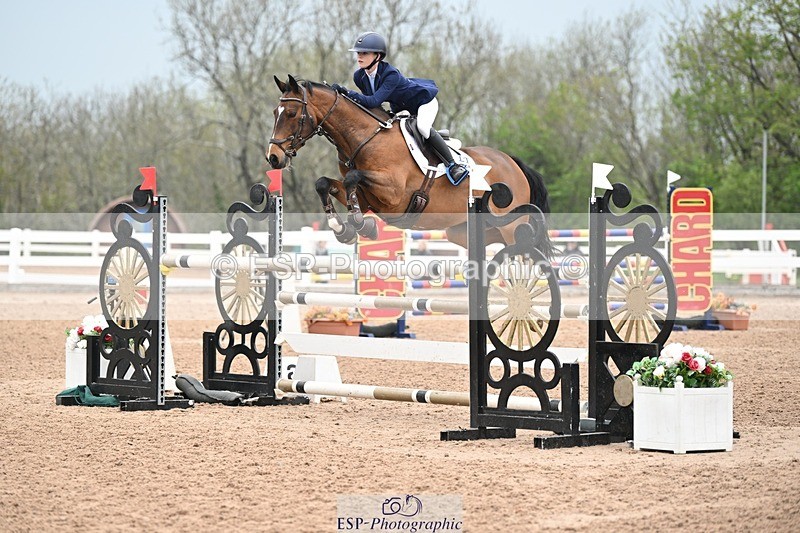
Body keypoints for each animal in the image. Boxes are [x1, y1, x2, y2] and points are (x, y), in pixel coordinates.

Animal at [266, 75, 553, 255]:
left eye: (291, 113)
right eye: (275, 113)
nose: (273, 157)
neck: (365, 138)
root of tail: (513, 163)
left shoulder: (392, 193)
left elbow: (352, 178)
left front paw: (360, 224)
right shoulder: (369, 198)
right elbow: (325, 183)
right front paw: (344, 230)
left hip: (511, 224)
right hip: (462, 231)